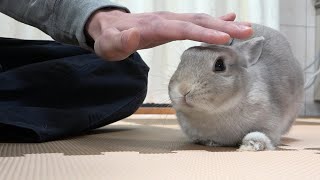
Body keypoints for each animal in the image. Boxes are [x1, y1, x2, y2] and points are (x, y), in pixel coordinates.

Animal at [169, 23, 304, 150]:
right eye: (182, 60)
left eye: (220, 65)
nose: (183, 89)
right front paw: (210, 142)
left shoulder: (270, 126)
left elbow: (260, 135)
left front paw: (252, 145)